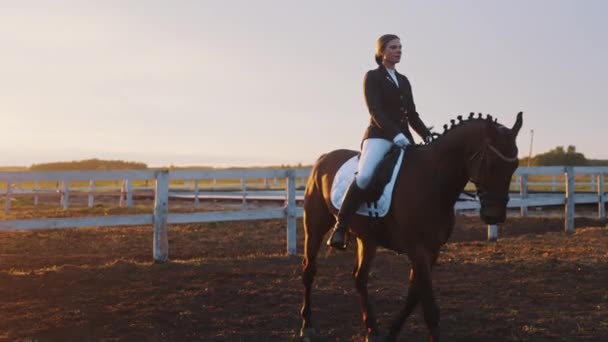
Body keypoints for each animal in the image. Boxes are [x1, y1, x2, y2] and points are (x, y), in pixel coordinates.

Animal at [300, 113, 524, 342]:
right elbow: (430, 309)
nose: (494, 216)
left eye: (514, 166)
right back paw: (308, 326)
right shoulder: (418, 250)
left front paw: (391, 334)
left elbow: (413, 298)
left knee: (360, 278)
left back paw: (372, 330)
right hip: (314, 226)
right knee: (309, 271)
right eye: (491, 165)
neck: (433, 179)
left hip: (367, 239)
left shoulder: (432, 251)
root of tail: (323, 158)